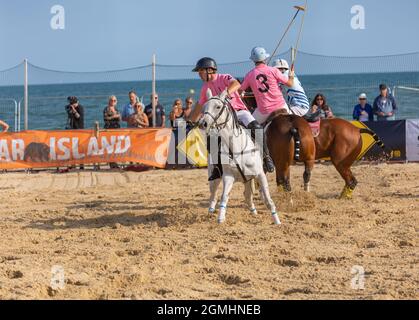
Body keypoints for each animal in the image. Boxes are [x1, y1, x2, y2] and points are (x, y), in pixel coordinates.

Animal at [201, 89, 282, 225]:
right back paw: (210, 212)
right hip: (214, 176)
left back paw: (254, 213)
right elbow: (224, 197)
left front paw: (277, 221)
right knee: (213, 194)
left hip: (248, 179)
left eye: (218, 106)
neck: (237, 148)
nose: (203, 123)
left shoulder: (260, 174)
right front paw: (220, 219)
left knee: (248, 196)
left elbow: (268, 199)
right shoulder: (228, 177)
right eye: (204, 107)